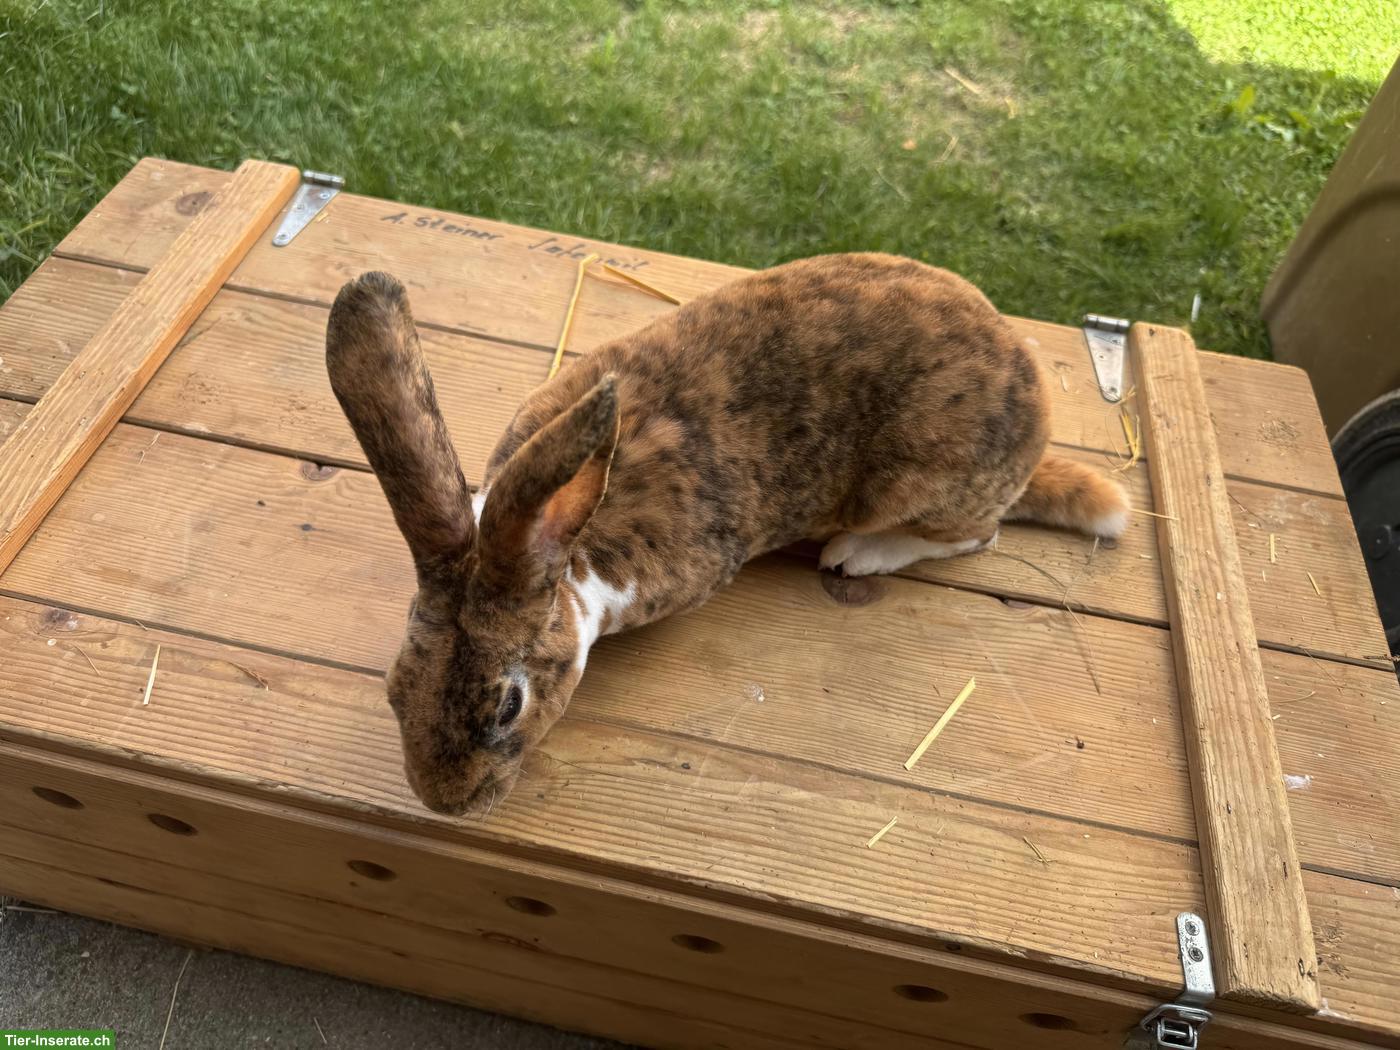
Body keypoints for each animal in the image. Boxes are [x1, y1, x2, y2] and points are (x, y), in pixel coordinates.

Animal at [325, 253, 1128, 816]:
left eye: (506, 707)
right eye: (394, 688)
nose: (442, 802)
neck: (566, 551)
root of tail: (1036, 427)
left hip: (921, 489)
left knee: (977, 535)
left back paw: (855, 553)